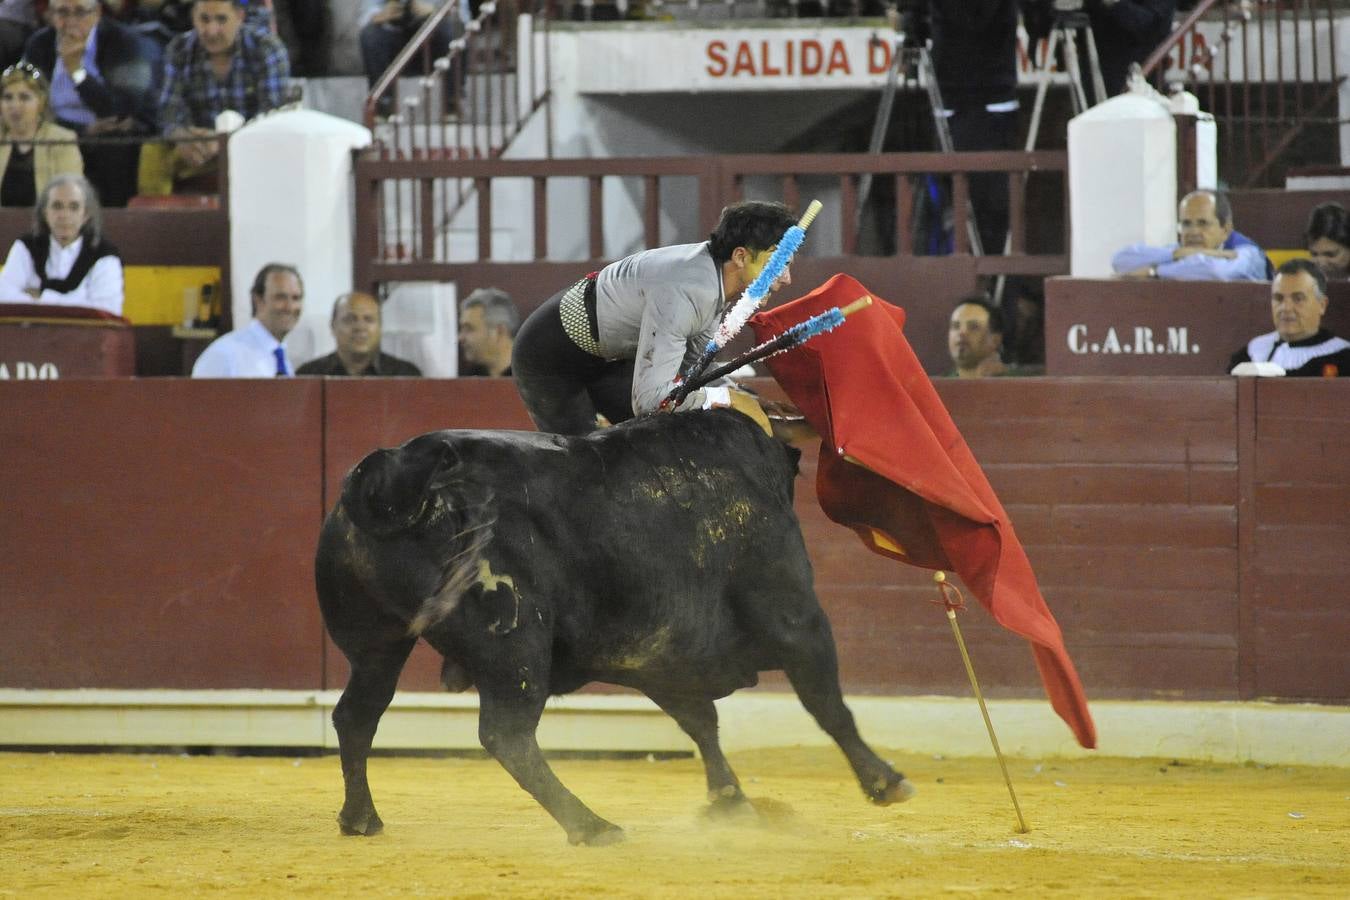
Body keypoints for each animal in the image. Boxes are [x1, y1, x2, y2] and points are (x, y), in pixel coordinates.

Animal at [313, 407, 918, 847]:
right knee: (507, 735)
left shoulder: (661, 658)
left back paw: (359, 817)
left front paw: (731, 803)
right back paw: (592, 826)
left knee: (356, 715)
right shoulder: (797, 616)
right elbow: (827, 705)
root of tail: (396, 478)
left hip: (379, 645)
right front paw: (885, 781)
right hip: (516, 646)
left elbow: (701, 723)